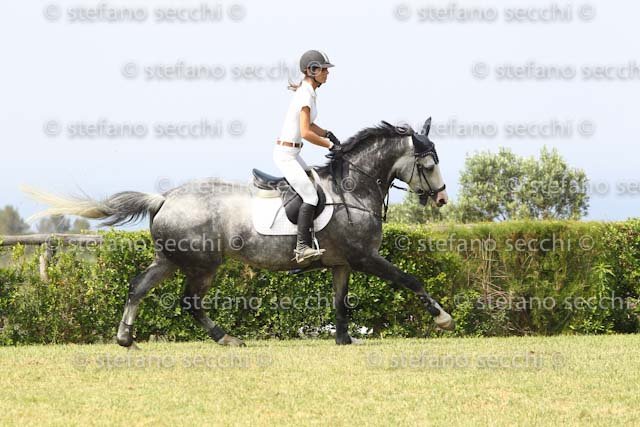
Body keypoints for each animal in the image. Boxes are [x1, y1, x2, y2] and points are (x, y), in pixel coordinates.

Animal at [23, 117, 452, 347]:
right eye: (430, 164)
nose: (442, 198)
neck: (353, 189)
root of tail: (164, 199)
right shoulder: (365, 257)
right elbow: (410, 279)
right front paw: (443, 318)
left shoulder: (342, 263)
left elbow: (340, 303)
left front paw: (344, 339)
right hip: (203, 264)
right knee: (190, 302)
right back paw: (226, 338)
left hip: (170, 259)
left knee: (138, 287)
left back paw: (125, 337)